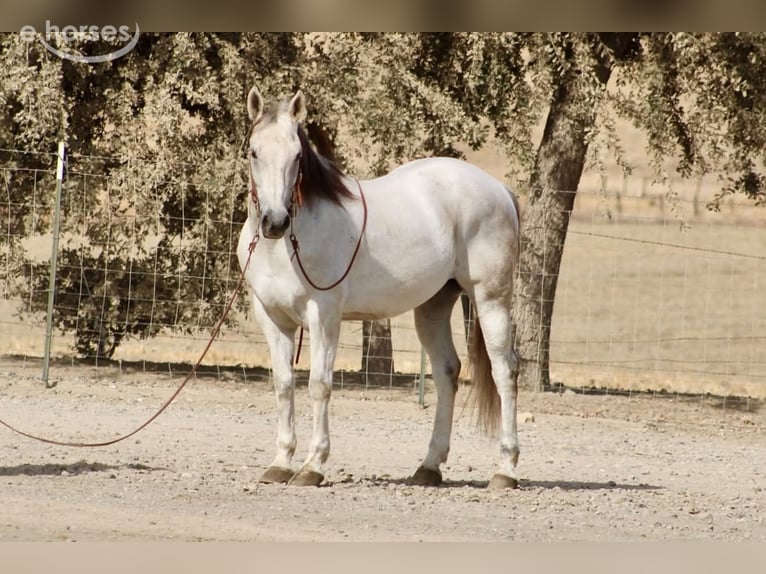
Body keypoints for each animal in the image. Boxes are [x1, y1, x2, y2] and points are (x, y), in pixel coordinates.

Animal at [237, 85, 522, 489]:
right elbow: (283, 384)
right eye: (254, 152)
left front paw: (313, 465)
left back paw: (505, 470)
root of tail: (499, 189)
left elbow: (319, 384)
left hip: (490, 299)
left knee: (504, 372)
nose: (275, 222)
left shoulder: (323, 314)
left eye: (297, 156)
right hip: (433, 305)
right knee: (447, 371)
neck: (287, 245)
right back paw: (429, 467)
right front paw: (281, 463)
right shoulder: (272, 318)